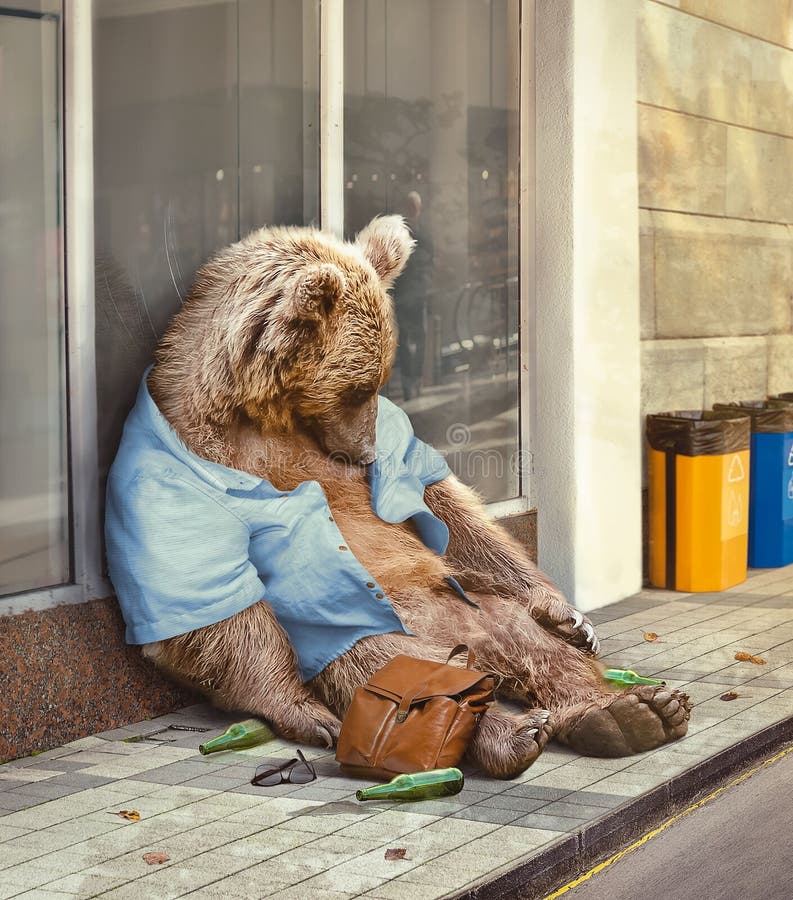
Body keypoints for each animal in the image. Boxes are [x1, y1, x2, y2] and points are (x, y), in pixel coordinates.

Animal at [108, 214, 688, 776]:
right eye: (355, 389)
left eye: (377, 383)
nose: (364, 453)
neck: (264, 416)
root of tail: (472, 653)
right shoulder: (175, 471)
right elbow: (213, 605)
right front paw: (301, 710)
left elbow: (445, 507)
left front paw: (570, 616)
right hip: (369, 626)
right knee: (380, 664)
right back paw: (512, 734)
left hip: (476, 607)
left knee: (535, 645)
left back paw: (630, 711)